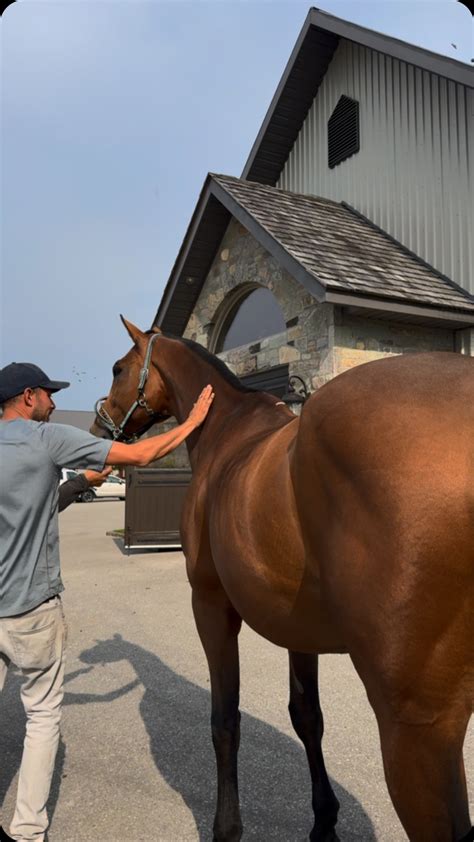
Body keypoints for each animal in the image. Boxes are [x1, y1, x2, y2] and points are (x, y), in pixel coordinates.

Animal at [91, 316, 473, 842]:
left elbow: (225, 720)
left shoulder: (210, 605)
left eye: (117, 368)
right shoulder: (298, 627)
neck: (228, 432)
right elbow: (307, 715)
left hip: (417, 729)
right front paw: (324, 820)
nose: (99, 426)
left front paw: (227, 827)